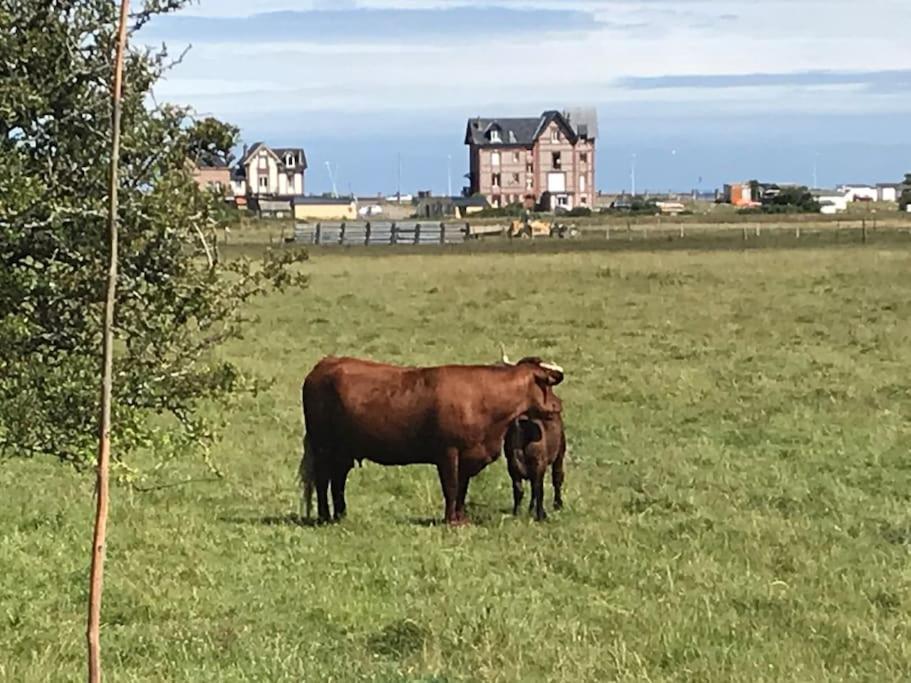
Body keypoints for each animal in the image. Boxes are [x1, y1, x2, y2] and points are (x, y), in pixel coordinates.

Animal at [300, 358, 564, 524]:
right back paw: (324, 517)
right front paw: (450, 520)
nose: (558, 405)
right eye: (547, 385)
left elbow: (462, 489)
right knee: (323, 481)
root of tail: (323, 365)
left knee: (337, 480)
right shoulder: (448, 453)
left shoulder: (467, 457)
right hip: (323, 446)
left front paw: (460, 517)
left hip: (342, 451)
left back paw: (340, 515)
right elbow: (451, 487)